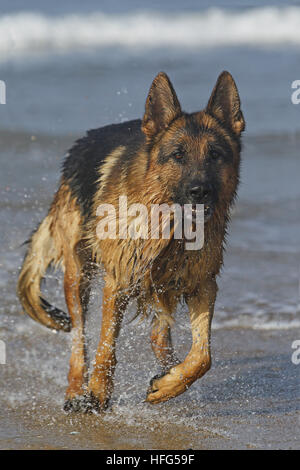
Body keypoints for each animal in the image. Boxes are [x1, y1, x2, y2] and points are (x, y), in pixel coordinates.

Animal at [17, 70, 244, 412]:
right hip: (78, 275)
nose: (199, 191)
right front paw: (98, 392)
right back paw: (75, 390)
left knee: (159, 335)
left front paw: (169, 384)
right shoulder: (119, 282)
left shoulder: (202, 283)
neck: (171, 227)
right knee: (79, 338)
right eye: (178, 155)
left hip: (163, 283)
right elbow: (106, 344)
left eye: (215, 155)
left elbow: (203, 356)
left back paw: (166, 371)